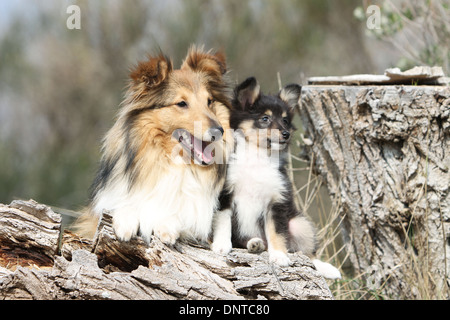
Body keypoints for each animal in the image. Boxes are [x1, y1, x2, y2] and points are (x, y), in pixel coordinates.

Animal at [74, 47, 232, 245]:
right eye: (181, 103)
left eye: (209, 101)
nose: (219, 131)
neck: (169, 159)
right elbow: (126, 202)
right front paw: (126, 221)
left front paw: (167, 225)